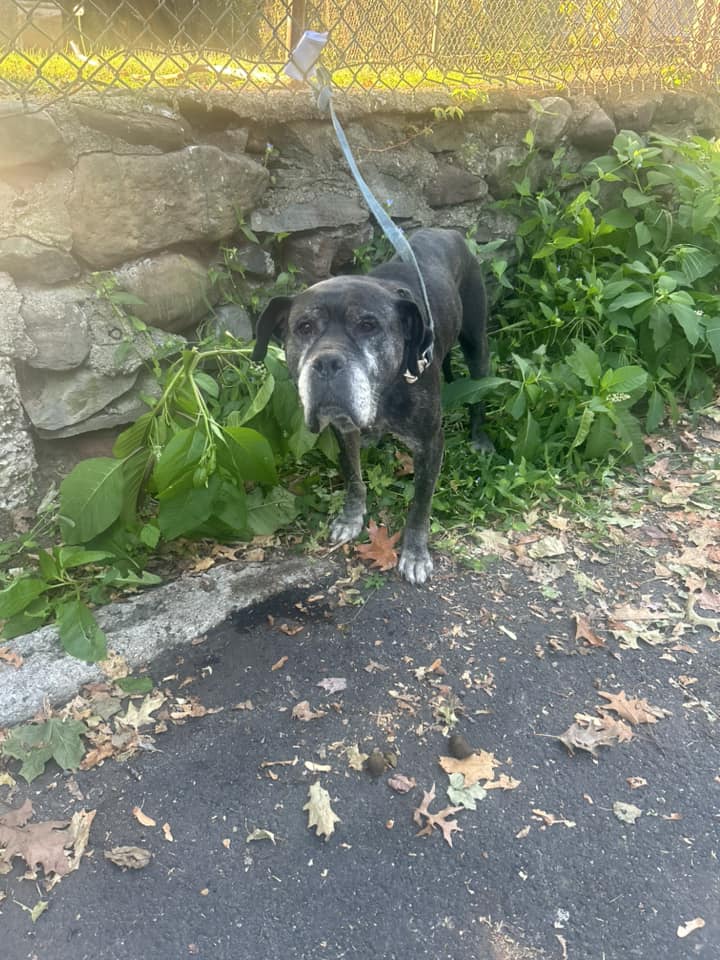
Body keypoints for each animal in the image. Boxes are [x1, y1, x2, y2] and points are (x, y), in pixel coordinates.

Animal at [250, 227, 492, 584]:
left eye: (368, 325)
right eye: (304, 328)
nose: (327, 363)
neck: (386, 391)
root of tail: (448, 231)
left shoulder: (431, 444)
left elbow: (421, 504)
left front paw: (415, 553)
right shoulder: (343, 430)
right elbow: (353, 476)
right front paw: (350, 519)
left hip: (476, 341)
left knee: (480, 393)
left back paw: (480, 437)